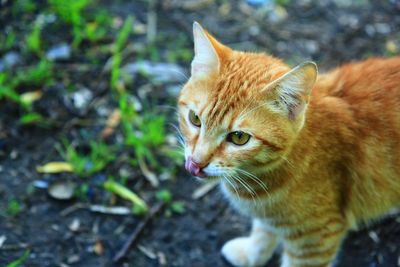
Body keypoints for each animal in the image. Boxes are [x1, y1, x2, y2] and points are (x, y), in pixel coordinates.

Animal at [178, 21, 400, 267]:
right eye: (194, 119)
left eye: (239, 138)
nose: (196, 163)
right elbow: (263, 230)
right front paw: (252, 254)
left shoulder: (315, 239)